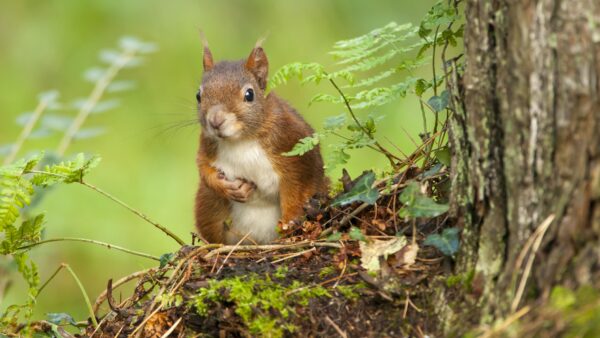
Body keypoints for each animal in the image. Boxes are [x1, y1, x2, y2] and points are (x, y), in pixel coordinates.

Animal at [196, 41, 328, 244]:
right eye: (198, 95)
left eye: (249, 94)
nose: (215, 121)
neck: (241, 140)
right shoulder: (207, 145)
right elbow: (204, 168)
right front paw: (225, 186)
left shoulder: (293, 145)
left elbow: (297, 187)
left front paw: (290, 221)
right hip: (208, 207)